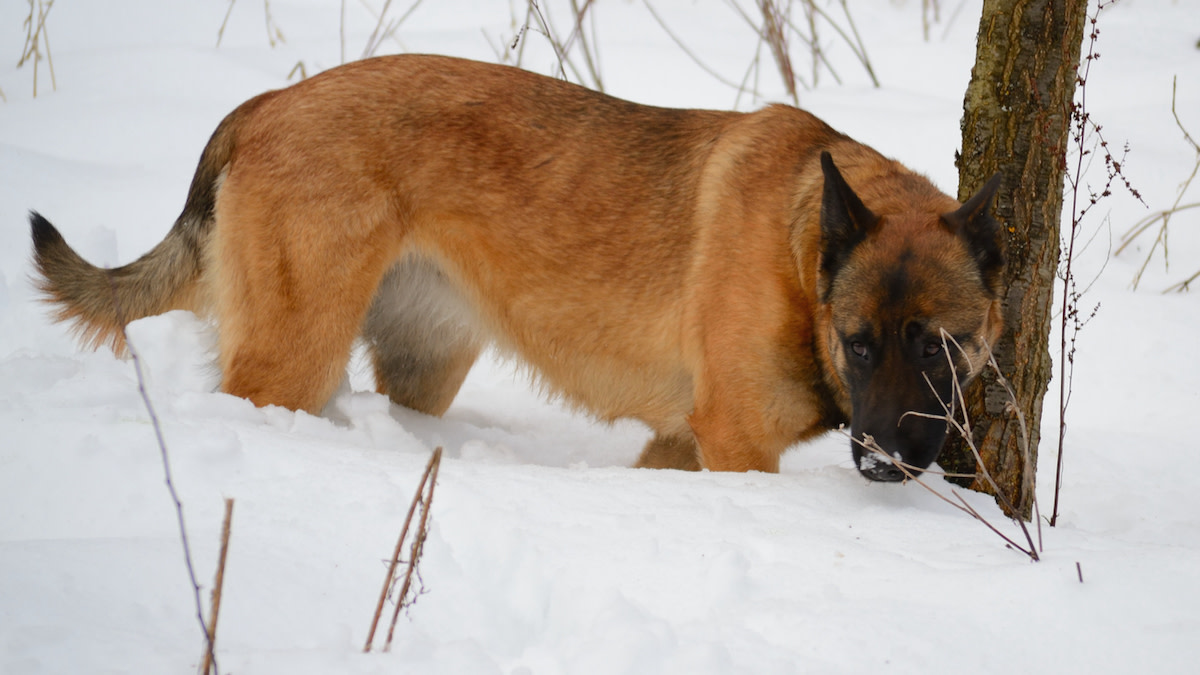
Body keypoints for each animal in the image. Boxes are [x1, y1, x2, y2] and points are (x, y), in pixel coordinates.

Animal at [30, 55, 1003, 480]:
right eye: (859, 343)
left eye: (938, 346)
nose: (882, 463)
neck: (801, 254)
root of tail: (267, 101)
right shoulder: (736, 442)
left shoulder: (679, 443)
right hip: (290, 361)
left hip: (423, 363)